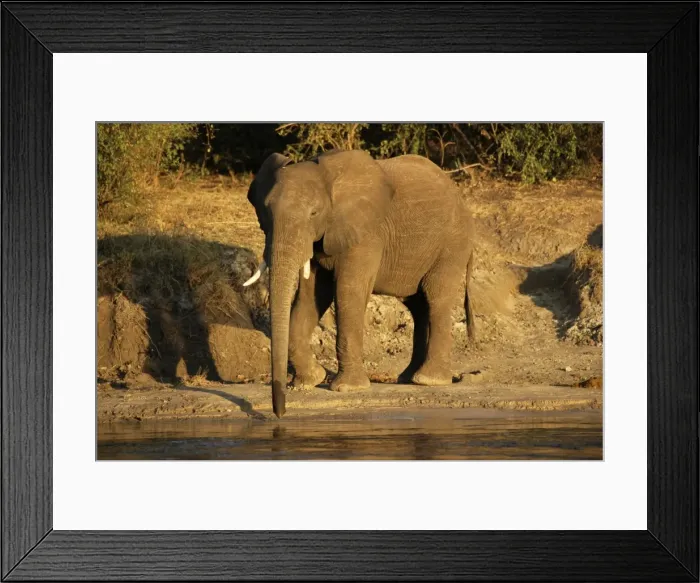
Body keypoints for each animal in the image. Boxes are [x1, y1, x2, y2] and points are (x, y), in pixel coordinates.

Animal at [245, 149, 476, 417]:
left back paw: (429, 380)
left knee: (436, 298)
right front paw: (308, 381)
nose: (280, 413)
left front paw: (346, 388)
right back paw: (408, 378)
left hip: (452, 244)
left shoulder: (366, 233)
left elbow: (348, 291)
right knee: (418, 307)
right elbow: (311, 296)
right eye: (266, 212)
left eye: (314, 213)